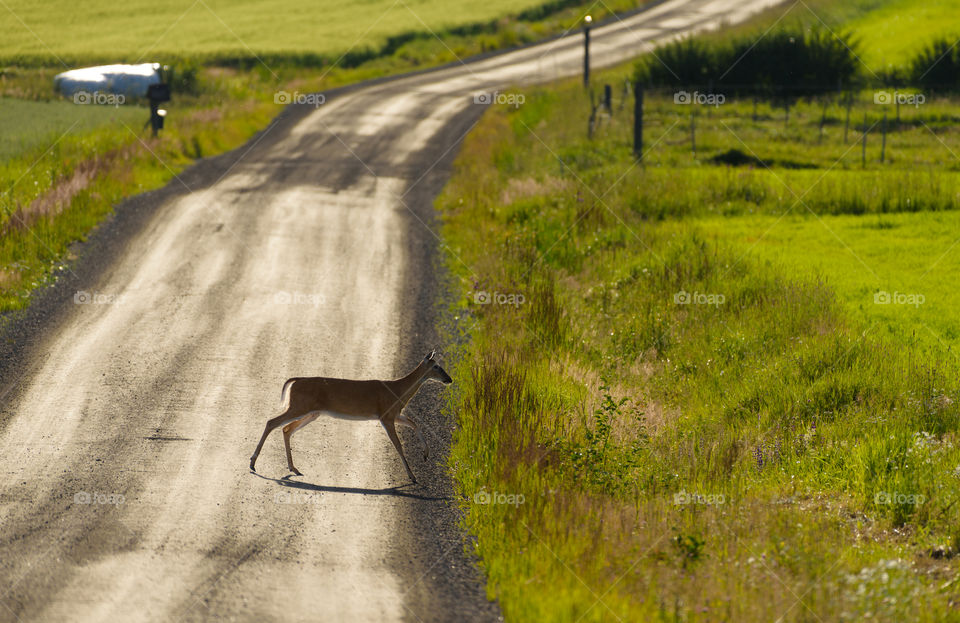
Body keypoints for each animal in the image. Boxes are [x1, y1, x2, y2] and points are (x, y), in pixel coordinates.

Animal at [251, 352, 454, 482]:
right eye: (437, 366)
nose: (449, 379)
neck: (397, 391)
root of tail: (296, 380)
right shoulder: (386, 415)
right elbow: (398, 445)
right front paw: (412, 476)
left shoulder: (394, 414)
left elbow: (414, 423)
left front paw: (426, 455)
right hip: (300, 406)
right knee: (272, 422)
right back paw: (253, 462)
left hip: (311, 412)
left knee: (286, 428)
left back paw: (293, 468)